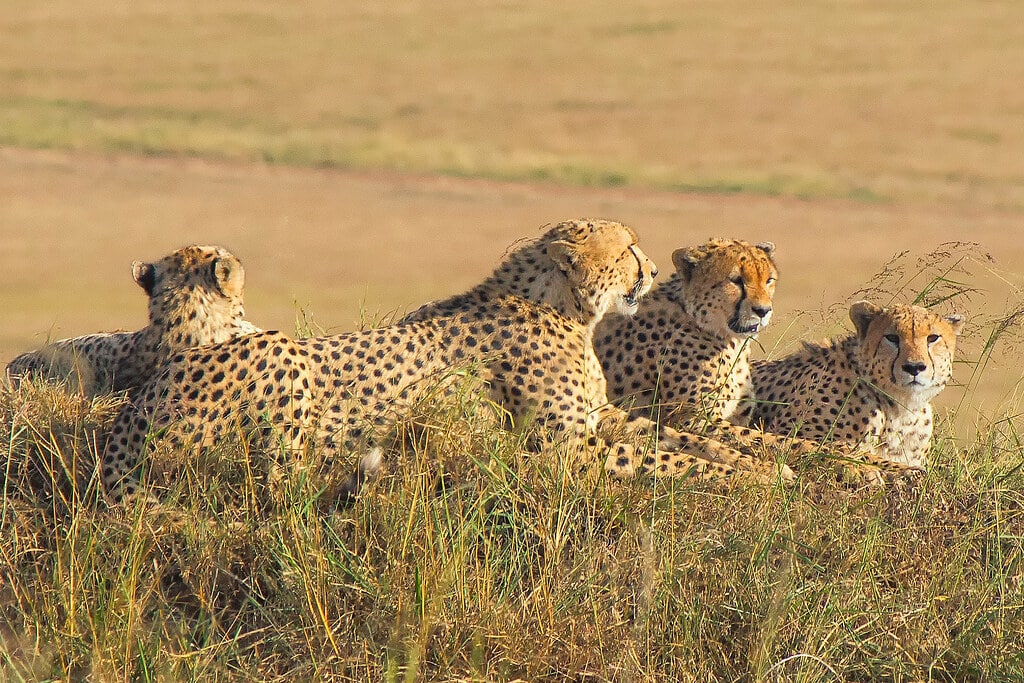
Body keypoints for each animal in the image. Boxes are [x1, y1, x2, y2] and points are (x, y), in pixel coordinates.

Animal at [100, 219, 792, 503]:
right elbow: (665, 458)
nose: (650, 269)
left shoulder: (603, 419)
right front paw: (755, 479)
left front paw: (761, 465)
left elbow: (684, 438)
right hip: (286, 360)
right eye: (626, 250)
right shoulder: (563, 450)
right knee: (282, 478)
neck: (565, 307)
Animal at [594, 238, 919, 484]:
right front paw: (854, 466)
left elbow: (780, 440)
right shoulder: (693, 419)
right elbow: (767, 440)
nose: (763, 310)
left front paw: (888, 467)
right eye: (736, 281)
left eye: (769, 280)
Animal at [748, 300, 964, 469]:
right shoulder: (787, 432)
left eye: (933, 338)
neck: (901, 409)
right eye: (892, 338)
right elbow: (854, 452)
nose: (914, 367)